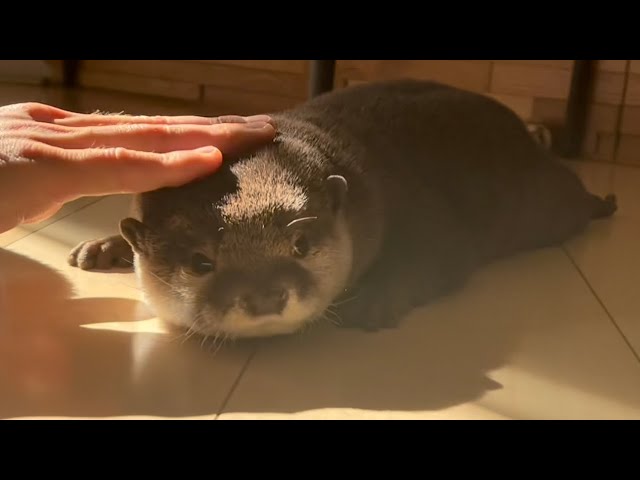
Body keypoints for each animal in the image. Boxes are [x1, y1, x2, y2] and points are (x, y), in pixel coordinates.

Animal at [67, 79, 616, 338]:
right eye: (201, 262)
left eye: (300, 243)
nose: (265, 297)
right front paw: (106, 246)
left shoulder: (426, 216)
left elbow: (437, 259)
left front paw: (377, 296)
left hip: (543, 199)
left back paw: (603, 202)